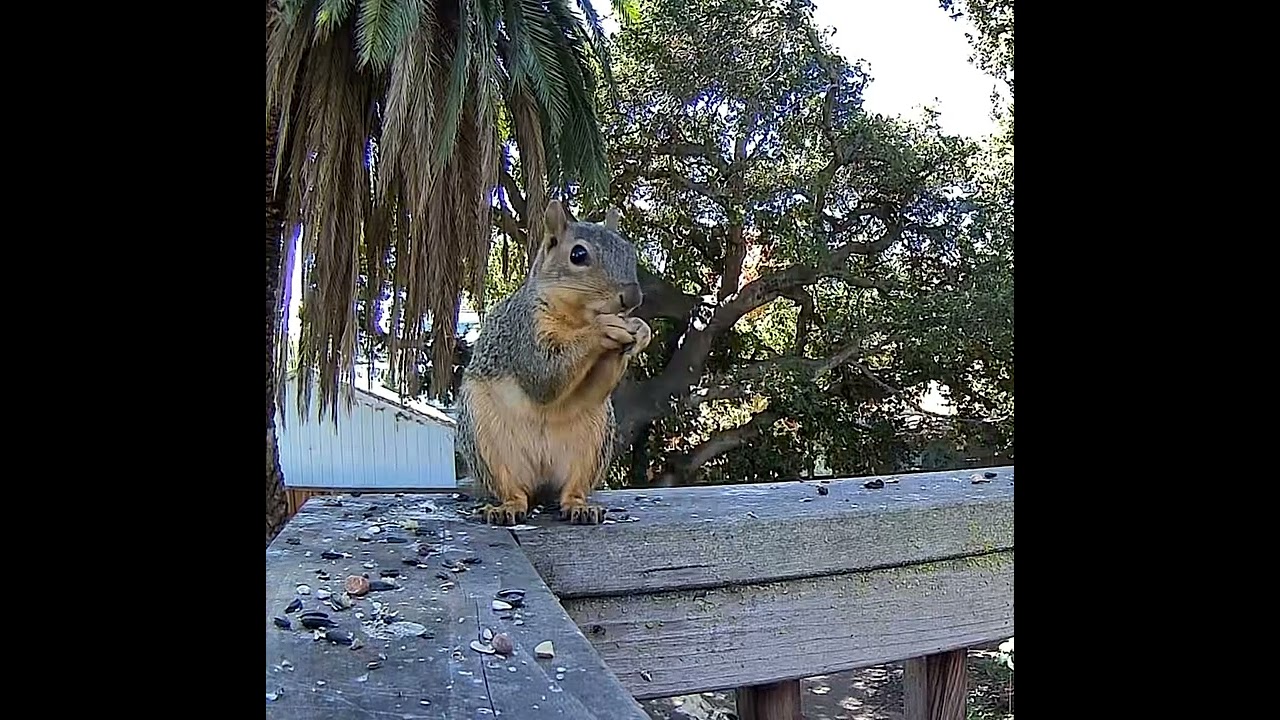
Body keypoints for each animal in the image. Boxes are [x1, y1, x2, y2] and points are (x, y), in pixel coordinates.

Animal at [456, 200, 652, 526]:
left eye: (629, 250)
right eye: (578, 255)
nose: (633, 296)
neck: (576, 318)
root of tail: (541, 480)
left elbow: (594, 389)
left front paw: (640, 331)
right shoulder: (524, 331)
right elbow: (544, 377)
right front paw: (604, 329)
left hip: (592, 444)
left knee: (572, 489)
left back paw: (579, 507)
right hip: (486, 443)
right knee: (513, 490)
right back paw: (507, 508)